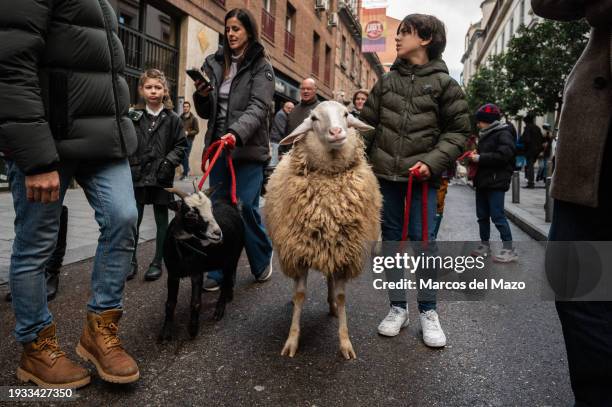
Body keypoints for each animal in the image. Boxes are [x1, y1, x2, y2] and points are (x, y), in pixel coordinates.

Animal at [159, 188, 245, 342]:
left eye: (211, 209)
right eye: (191, 214)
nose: (218, 233)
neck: (185, 250)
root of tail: (234, 207)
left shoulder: (197, 272)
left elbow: (195, 302)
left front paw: (193, 330)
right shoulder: (173, 273)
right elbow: (170, 303)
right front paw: (166, 332)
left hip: (233, 255)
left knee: (226, 280)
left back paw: (219, 311)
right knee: (231, 276)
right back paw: (229, 295)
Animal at [264, 102, 380, 360]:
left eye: (346, 114)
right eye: (315, 118)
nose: (336, 132)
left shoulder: (344, 254)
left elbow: (341, 296)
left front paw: (345, 342)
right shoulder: (298, 253)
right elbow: (299, 295)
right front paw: (292, 340)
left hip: (332, 250)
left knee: (330, 281)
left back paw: (332, 306)